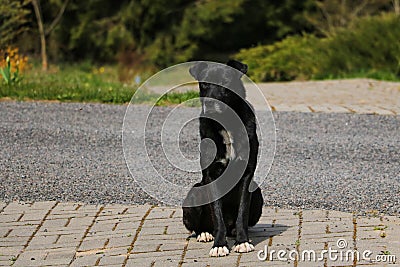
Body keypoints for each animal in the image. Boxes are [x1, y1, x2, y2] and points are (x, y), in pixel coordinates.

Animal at [183, 60, 264, 258]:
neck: (225, 122)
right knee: (202, 225)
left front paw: (242, 241)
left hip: (257, 193)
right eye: (204, 84)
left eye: (225, 82)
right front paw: (219, 245)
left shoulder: (246, 174)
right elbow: (217, 214)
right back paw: (205, 233)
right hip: (194, 193)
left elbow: (242, 212)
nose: (211, 106)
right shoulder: (212, 175)